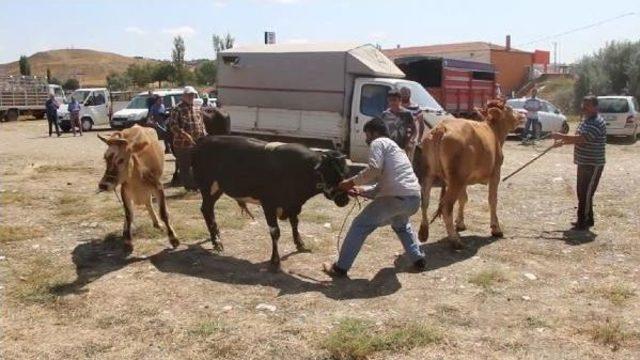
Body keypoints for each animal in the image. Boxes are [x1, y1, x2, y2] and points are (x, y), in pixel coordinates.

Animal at [191, 136, 350, 268]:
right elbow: (275, 232)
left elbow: (295, 223)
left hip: (217, 188)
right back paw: (217, 242)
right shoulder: (269, 204)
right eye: (333, 173)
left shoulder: (293, 204)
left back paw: (215, 239)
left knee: (207, 210)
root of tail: (204, 140)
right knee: (207, 210)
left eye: (346, 172)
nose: (345, 199)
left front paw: (300, 244)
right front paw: (275, 260)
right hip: (207, 186)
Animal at [420, 100, 520, 249]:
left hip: (430, 173)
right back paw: (455, 240)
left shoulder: (464, 180)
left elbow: (463, 199)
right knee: (446, 205)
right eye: (510, 108)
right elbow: (492, 199)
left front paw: (460, 223)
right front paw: (496, 228)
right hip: (456, 178)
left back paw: (423, 232)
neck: (493, 131)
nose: (522, 115)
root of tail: (441, 128)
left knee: (425, 201)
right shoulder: (495, 173)